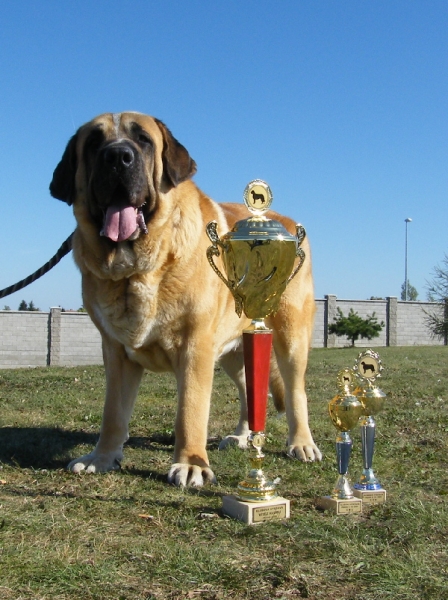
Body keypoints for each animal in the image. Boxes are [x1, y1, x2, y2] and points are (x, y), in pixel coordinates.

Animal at [50, 113, 322, 488]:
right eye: (93, 142)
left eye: (143, 140)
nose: (117, 156)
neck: (137, 269)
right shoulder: (115, 352)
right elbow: (113, 413)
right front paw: (102, 457)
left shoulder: (195, 346)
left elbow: (190, 411)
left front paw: (191, 463)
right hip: (235, 349)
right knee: (248, 389)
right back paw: (242, 436)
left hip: (289, 338)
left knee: (296, 392)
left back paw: (302, 443)